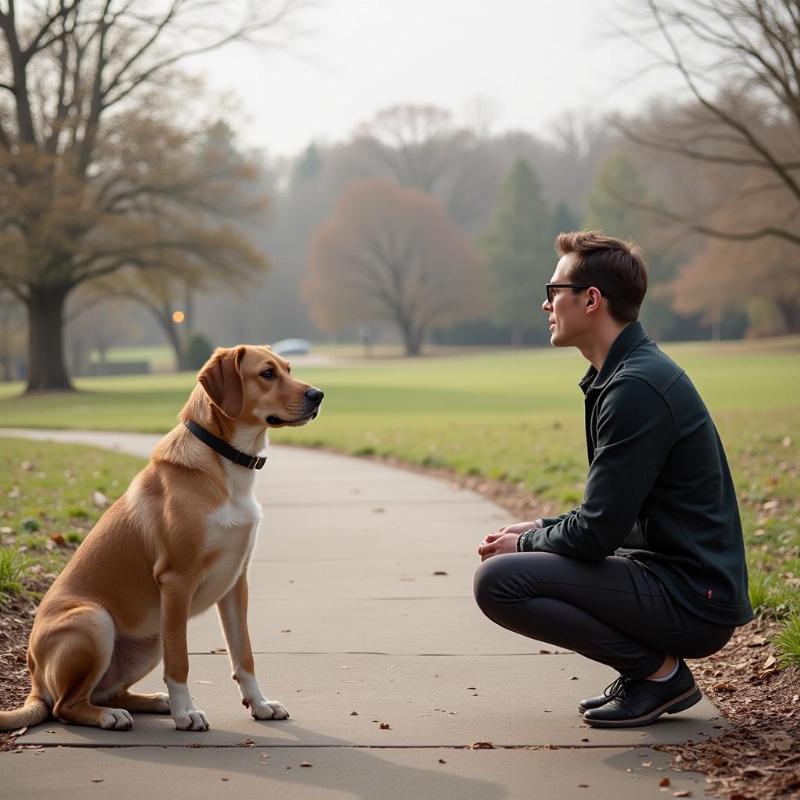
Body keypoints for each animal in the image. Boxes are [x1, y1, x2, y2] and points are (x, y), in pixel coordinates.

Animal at [0, 344, 322, 732]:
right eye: (267, 374)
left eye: (289, 369)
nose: (318, 395)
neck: (224, 462)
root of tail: (33, 681)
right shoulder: (177, 581)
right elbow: (180, 662)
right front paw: (187, 713)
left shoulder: (236, 584)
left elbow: (243, 654)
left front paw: (259, 704)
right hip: (96, 620)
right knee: (66, 706)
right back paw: (113, 716)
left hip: (150, 638)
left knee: (107, 692)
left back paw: (154, 701)